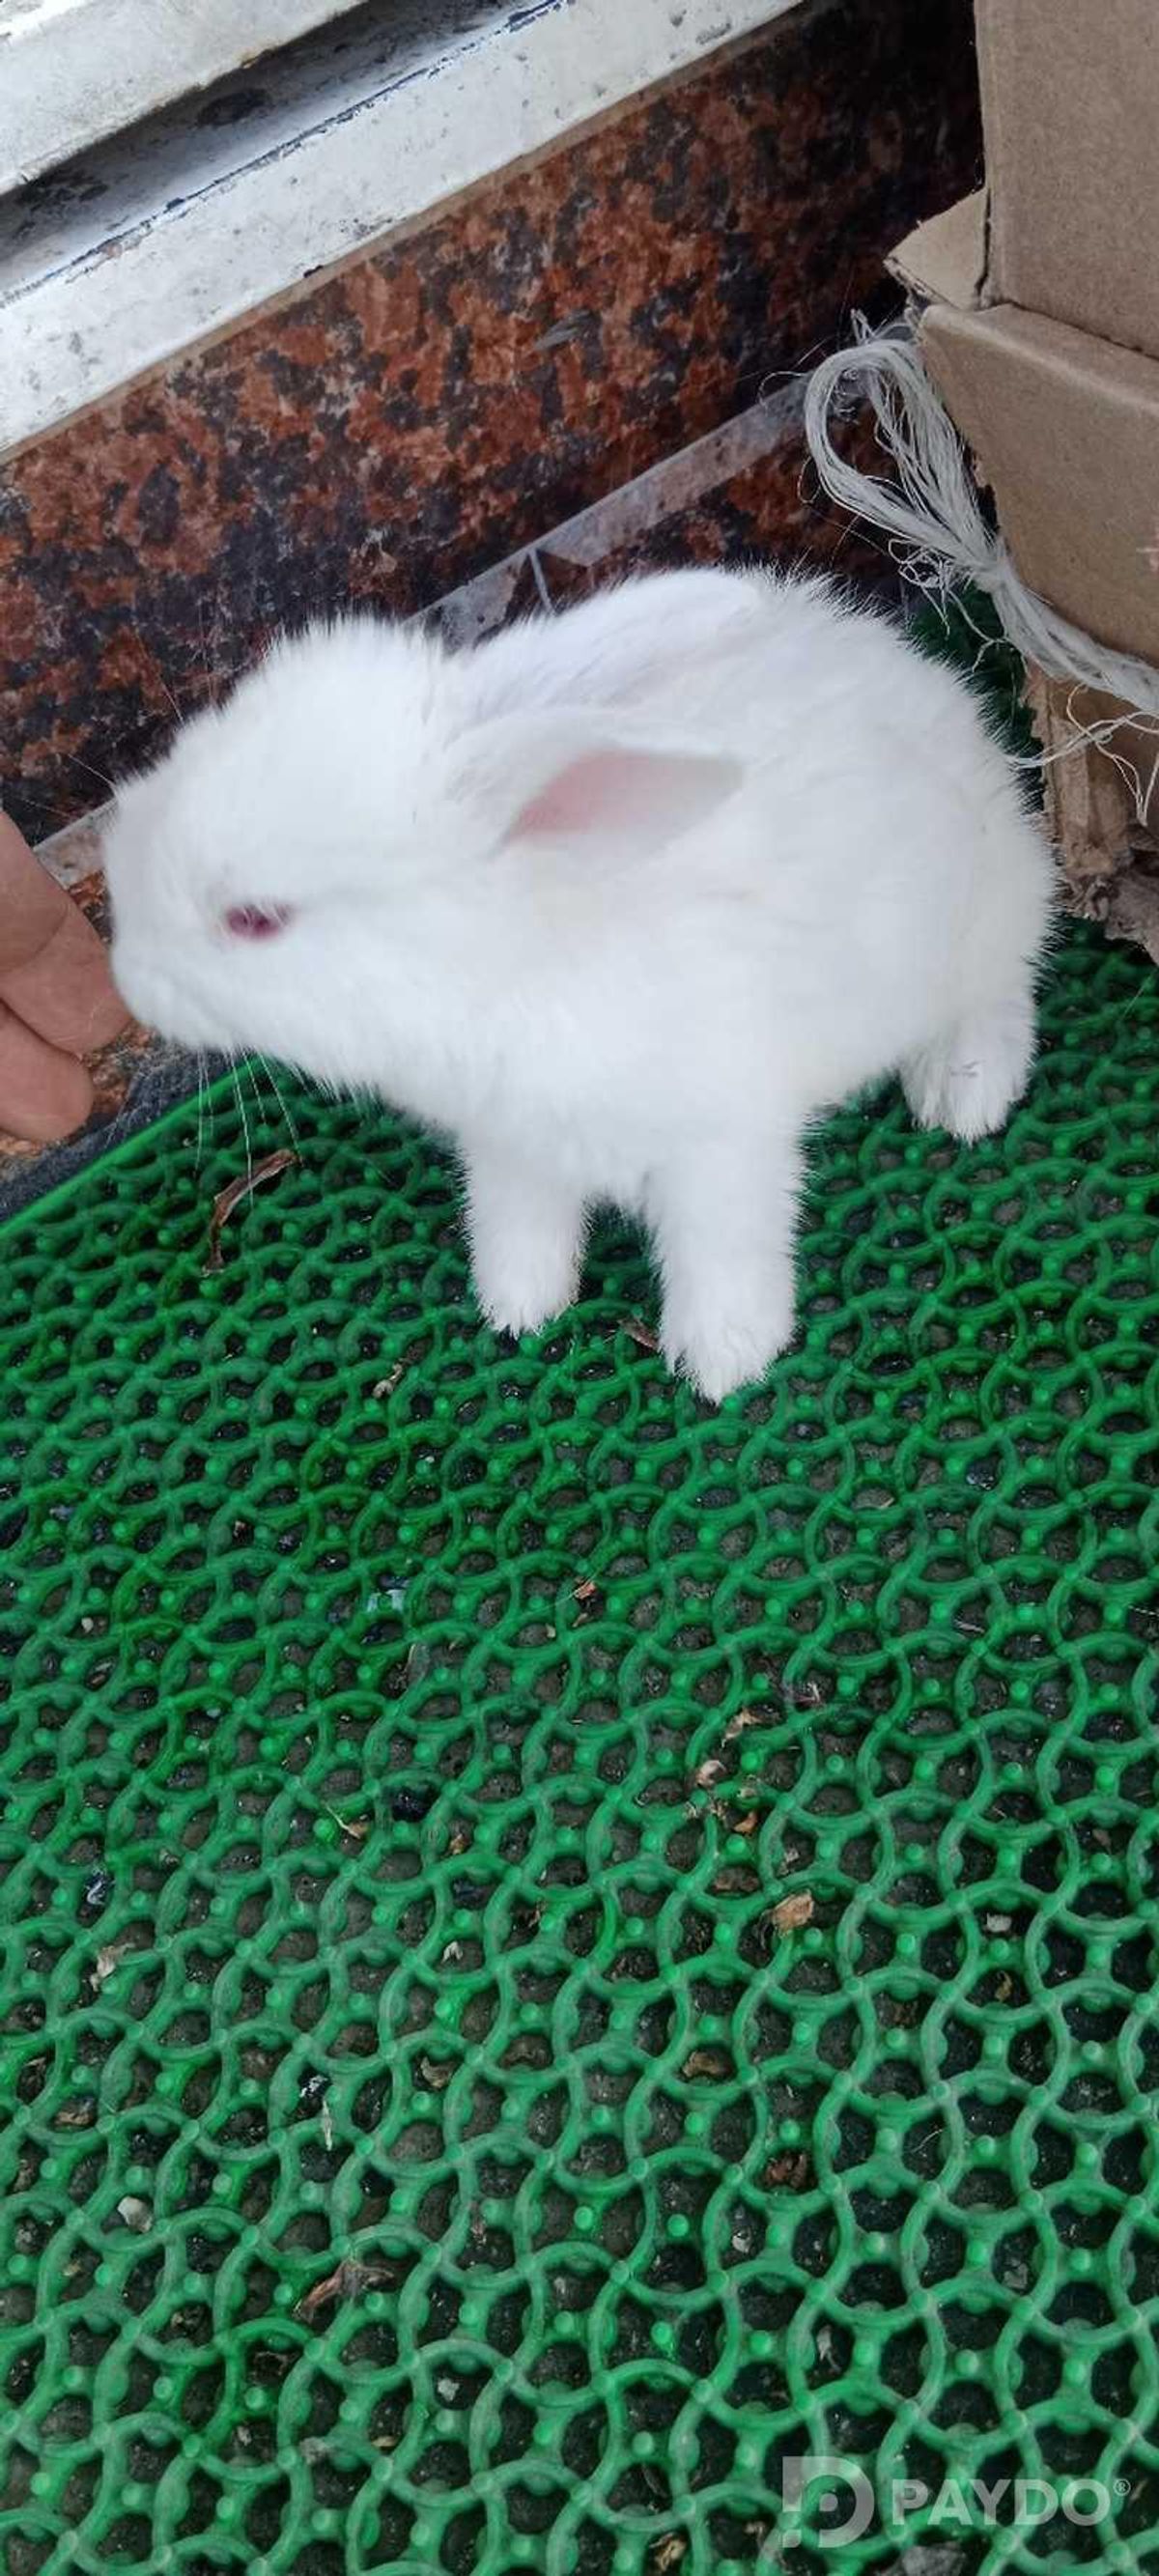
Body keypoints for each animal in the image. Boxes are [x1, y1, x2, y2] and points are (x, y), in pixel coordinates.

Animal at [106, 567, 1053, 1401]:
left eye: (255, 919)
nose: (127, 974)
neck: (506, 955)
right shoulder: (509, 1147)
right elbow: (516, 1224)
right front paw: (517, 1305)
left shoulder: (723, 1148)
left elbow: (724, 1249)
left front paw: (724, 1359)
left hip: (978, 925)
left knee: (1005, 981)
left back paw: (964, 1092)